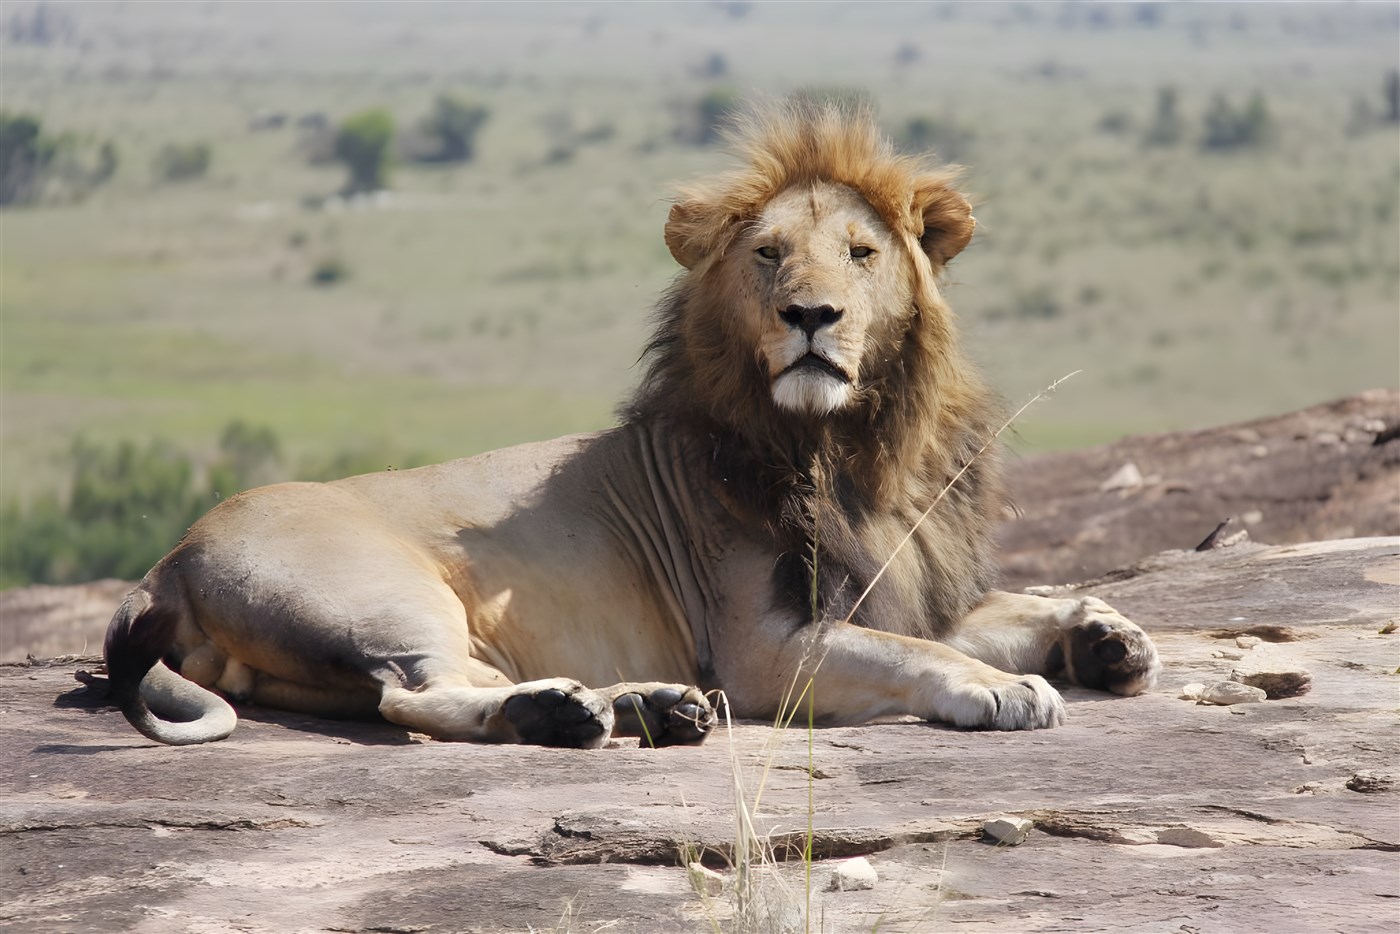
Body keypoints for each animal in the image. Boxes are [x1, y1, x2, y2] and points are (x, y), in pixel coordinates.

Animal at [98, 102, 1159, 748]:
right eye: (769, 254)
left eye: (861, 253)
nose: (810, 316)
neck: (855, 449)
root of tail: (169, 559)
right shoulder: (762, 647)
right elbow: (919, 654)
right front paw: (1007, 688)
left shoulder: (905, 585)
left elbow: (1010, 606)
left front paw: (1104, 635)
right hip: (386, 594)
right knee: (418, 693)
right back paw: (572, 714)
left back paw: (643, 704)